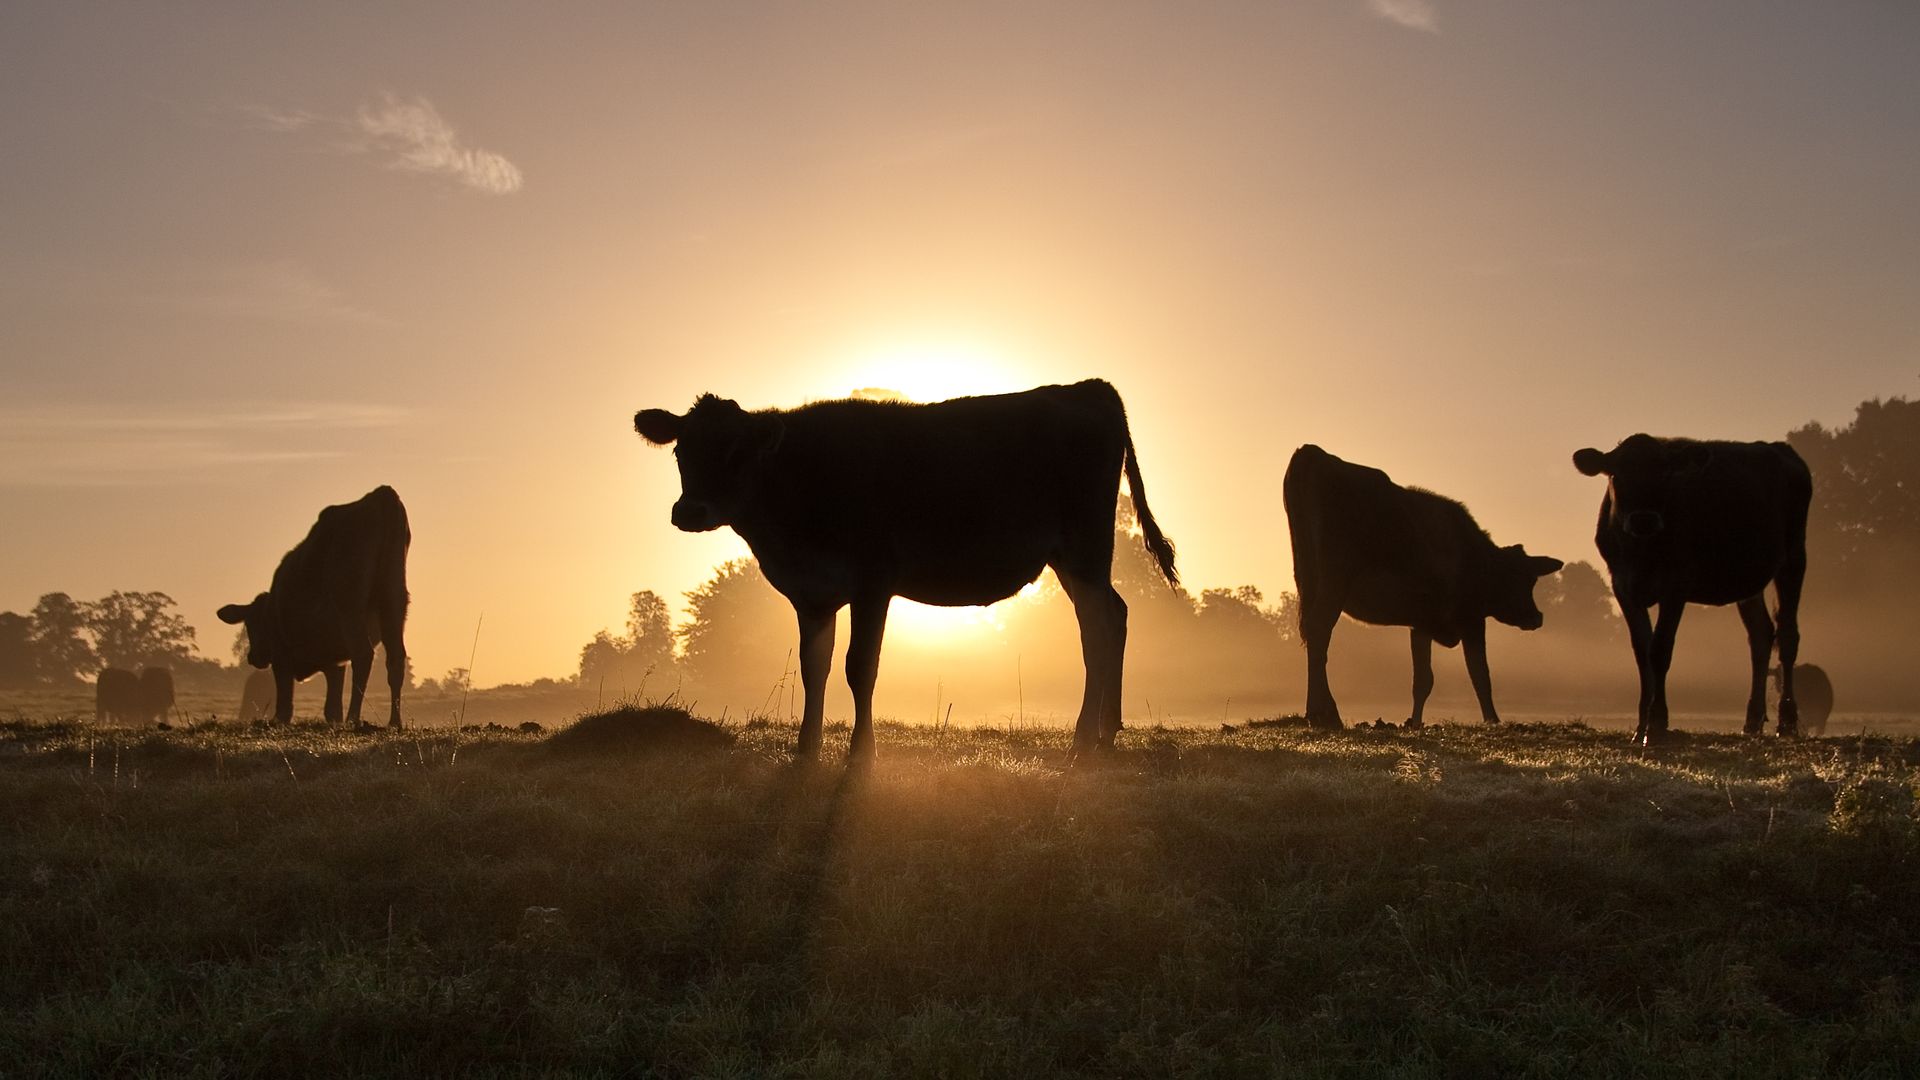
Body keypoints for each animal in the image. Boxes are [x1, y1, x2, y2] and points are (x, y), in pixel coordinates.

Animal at [219, 486, 410, 722]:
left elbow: (285, 706)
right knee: (396, 659)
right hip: (394, 600)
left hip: (350, 604)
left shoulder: (281, 653)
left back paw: (354, 718)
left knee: (363, 655)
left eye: (250, 624)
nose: (253, 656)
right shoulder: (335, 663)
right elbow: (332, 709)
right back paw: (394, 722)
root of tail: (381, 494)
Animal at [633, 378, 1167, 757]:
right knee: (1115, 615)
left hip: (1085, 549)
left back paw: (1082, 740)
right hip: (1071, 560)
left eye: (736, 453)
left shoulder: (874, 582)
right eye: (681, 450)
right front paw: (806, 751)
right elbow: (814, 668)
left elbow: (859, 668)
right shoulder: (813, 592)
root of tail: (1087, 387)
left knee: (1096, 630)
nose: (689, 511)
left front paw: (861, 755)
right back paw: (1107, 731)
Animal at [1282, 441, 1566, 726]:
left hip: (1307, 576)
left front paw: (1415, 722)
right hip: (1336, 577)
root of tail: (1312, 452)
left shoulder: (1421, 623)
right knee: (1319, 630)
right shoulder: (1472, 618)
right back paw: (1325, 713)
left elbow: (1423, 680)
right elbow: (1480, 674)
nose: (1536, 617)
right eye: (1524, 579)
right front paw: (1492, 720)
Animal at [1566, 428, 1804, 737]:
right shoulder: (1622, 585)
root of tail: (1779, 448)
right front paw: (1641, 724)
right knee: (1761, 635)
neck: (1642, 551)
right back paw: (1752, 720)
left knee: (1788, 635)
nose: (1643, 519)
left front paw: (1657, 723)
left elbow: (1660, 648)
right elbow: (1642, 651)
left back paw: (1787, 720)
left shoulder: (1676, 583)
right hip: (1749, 581)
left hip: (1794, 557)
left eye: (1666, 473)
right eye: (1616, 474)